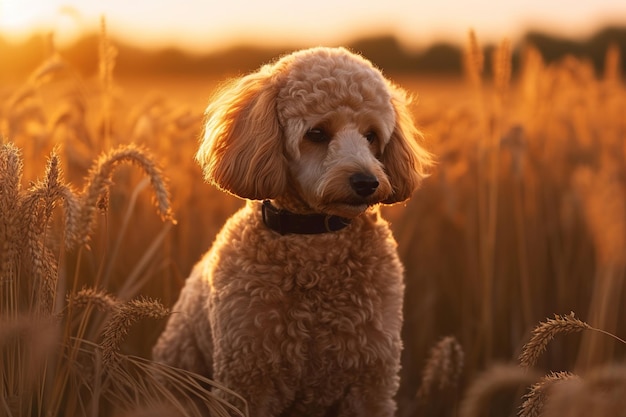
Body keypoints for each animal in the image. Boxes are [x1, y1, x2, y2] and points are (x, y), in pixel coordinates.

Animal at [154, 47, 432, 414]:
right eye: (316, 133)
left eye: (371, 135)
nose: (367, 182)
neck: (314, 238)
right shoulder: (246, 377)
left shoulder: (372, 381)